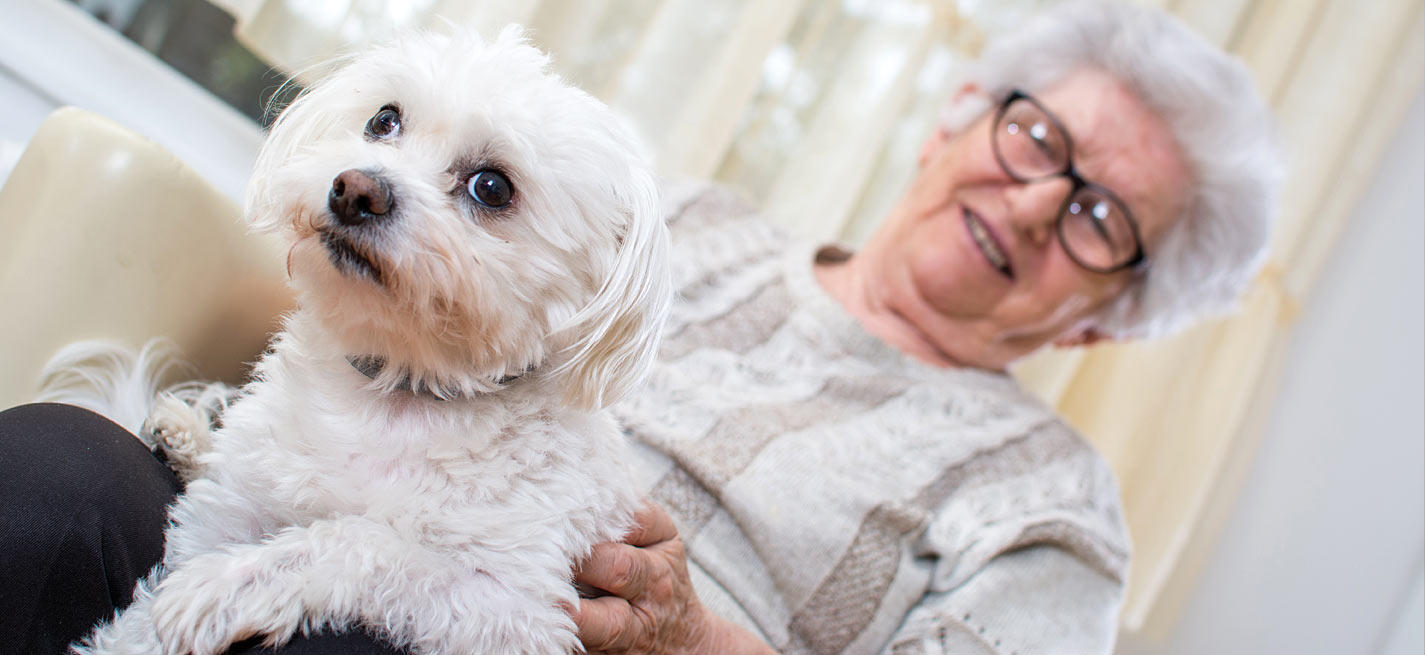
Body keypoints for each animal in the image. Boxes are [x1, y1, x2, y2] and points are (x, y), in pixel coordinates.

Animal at [65, 25, 666, 655]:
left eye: (493, 187)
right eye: (384, 120)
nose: (356, 189)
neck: (396, 391)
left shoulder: (514, 614)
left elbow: (365, 539)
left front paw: (231, 584)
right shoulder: (224, 515)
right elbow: (145, 620)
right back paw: (183, 436)